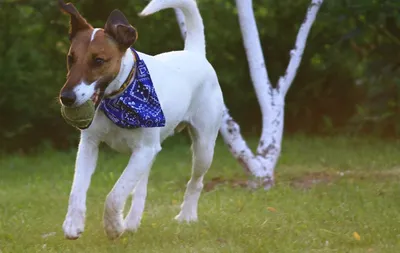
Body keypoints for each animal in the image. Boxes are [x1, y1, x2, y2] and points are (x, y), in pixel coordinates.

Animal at [57, 0, 225, 239]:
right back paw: (132, 221)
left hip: (203, 146)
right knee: (141, 189)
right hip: (151, 152)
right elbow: (77, 189)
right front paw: (73, 223)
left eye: (99, 61)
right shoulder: (89, 145)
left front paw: (113, 226)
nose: (67, 98)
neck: (118, 99)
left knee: (196, 182)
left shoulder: (144, 150)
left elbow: (115, 194)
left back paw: (186, 216)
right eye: (70, 59)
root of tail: (194, 53)